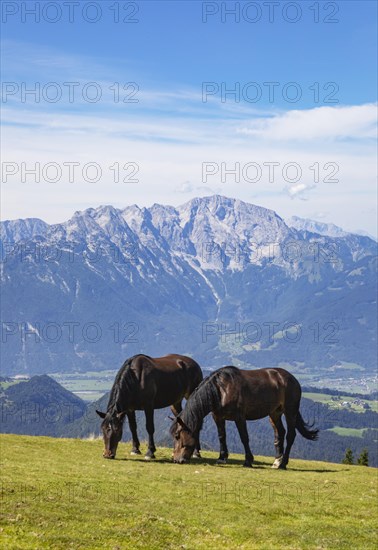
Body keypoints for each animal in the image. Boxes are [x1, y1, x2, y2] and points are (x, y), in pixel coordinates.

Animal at [170, 366, 318, 470]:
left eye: (177, 436)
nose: (177, 460)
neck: (221, 390)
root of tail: (292, 379)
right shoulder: (218, 417)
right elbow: (221, 436)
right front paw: (222, 457)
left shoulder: (239, 417)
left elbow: (244, 438)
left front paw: (248, 461)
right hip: (274, 413)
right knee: (280, 433)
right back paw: (277, 461)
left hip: (290, 412)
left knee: (291, 435)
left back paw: (283, 464)